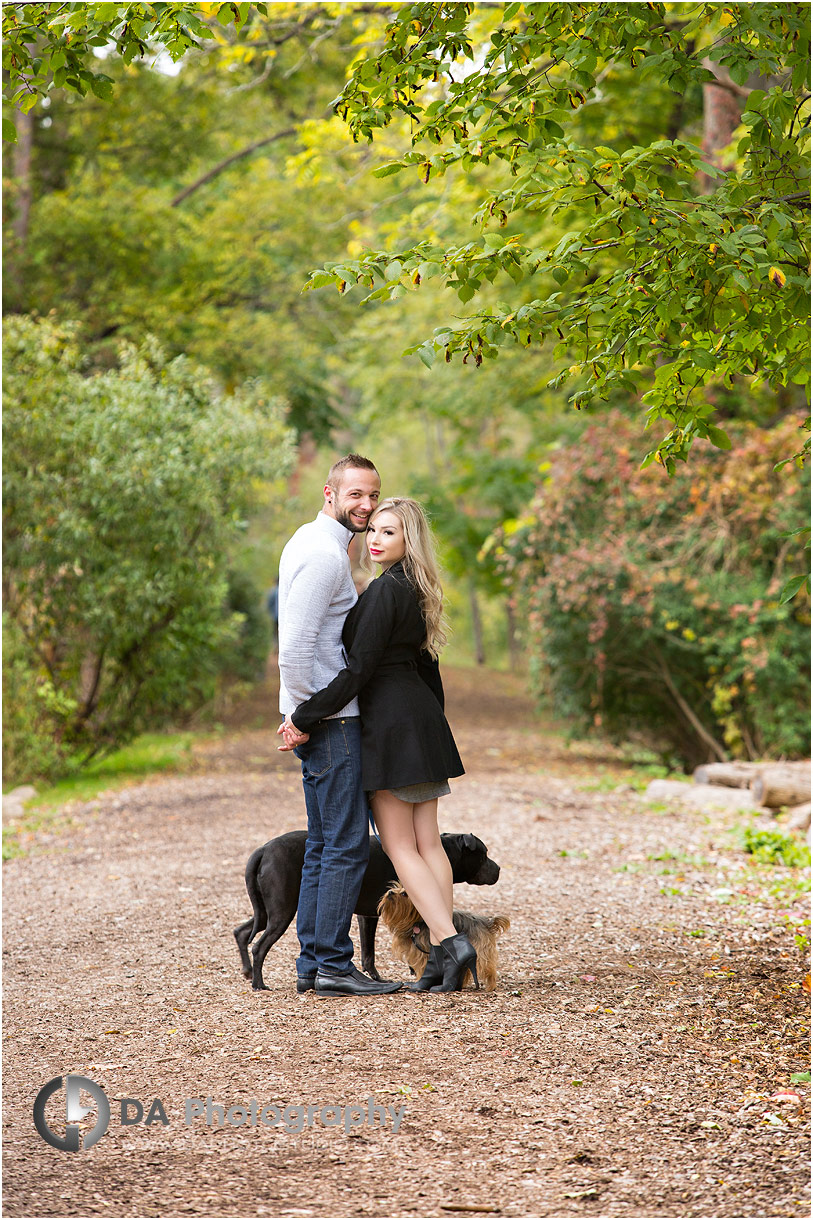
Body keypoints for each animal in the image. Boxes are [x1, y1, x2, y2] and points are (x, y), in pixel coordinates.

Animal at [375, 888, 507, 990]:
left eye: (404, 894)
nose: (390, 892)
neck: (416, 922)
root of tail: (486, 922)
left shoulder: (423, 954)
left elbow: (423, 967)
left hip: (481, 951)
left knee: (488, 968)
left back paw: (491, 986)